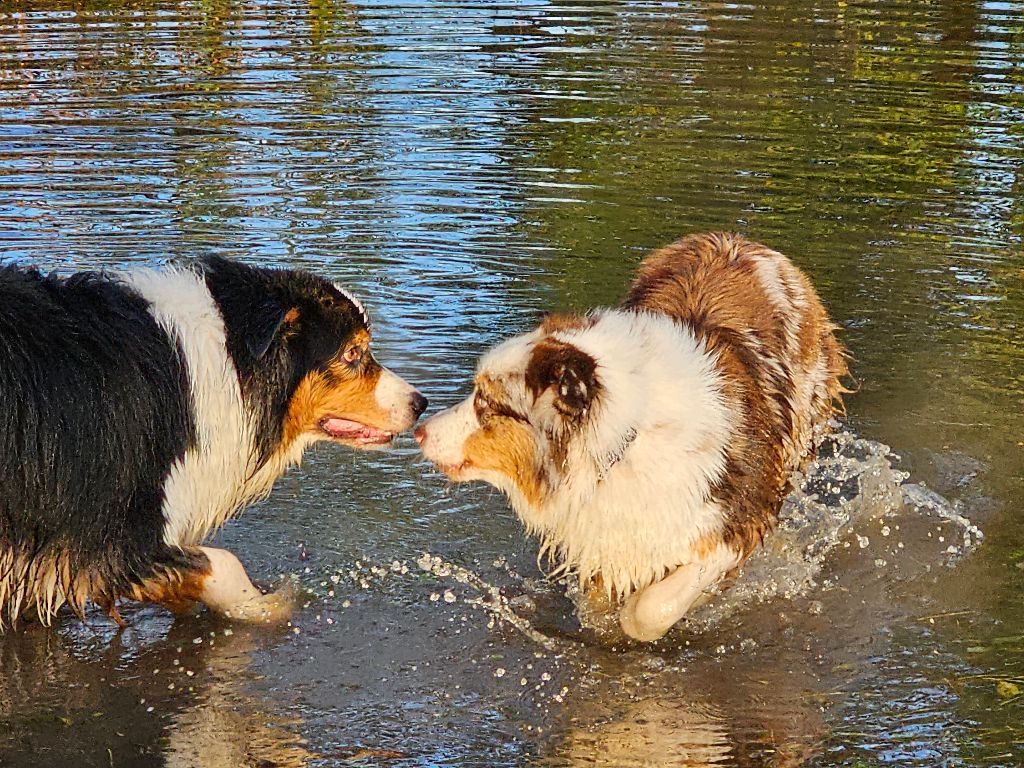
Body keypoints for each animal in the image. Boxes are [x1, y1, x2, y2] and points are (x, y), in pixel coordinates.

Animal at [0, 256, 426, 629]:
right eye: (353, 353)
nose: (420, 403)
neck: (228, 363)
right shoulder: (113, 530)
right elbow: (224, 564)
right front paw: (268, 607)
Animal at [416, 232, 847, 641]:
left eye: (486, 402)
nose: (419, 430)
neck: (625, 440)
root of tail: (738, 239)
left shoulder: (733, 520)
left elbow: (648, 610)